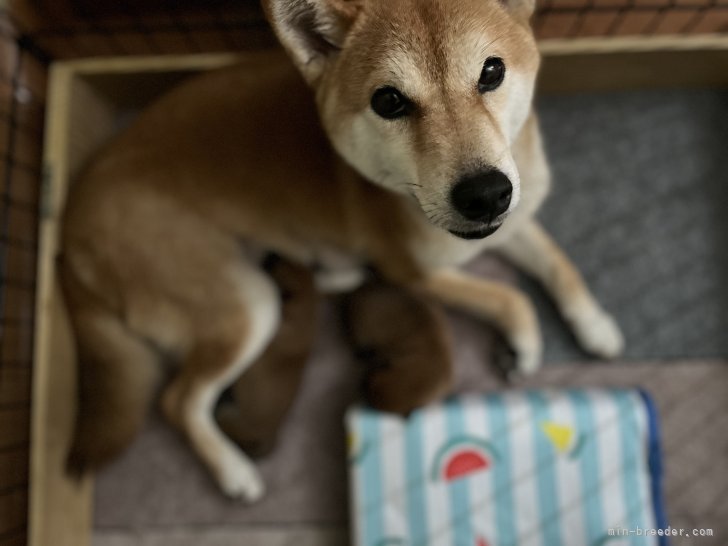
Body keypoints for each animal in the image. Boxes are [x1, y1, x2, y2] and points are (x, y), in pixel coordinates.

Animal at [61, 0, 620, 500]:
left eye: (492, 71)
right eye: (389, 101)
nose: (484, 194)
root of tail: (71, 224)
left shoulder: (515, 217)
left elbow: (559, 266)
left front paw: (596, 325)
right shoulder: (411, 272)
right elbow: (511, 298)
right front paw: (524, 343)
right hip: (248, 303)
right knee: (178, 402)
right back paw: (234, 472)